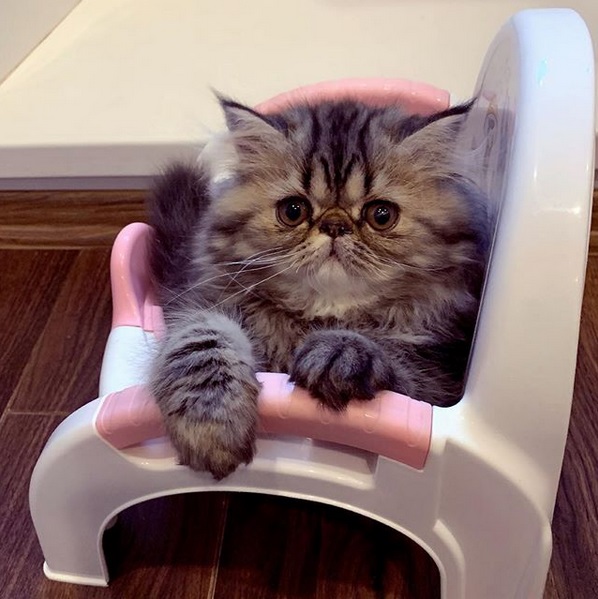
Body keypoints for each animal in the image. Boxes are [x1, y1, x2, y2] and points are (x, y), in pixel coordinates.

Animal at [148, 96, 490, 480]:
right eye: (293, 211)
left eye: (381, 215)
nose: (334, 226)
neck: (323, 312)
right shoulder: (200, 304)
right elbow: (201, 344)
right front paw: (212, 426)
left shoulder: (435, 381)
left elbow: (386, 359)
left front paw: (339, 350)